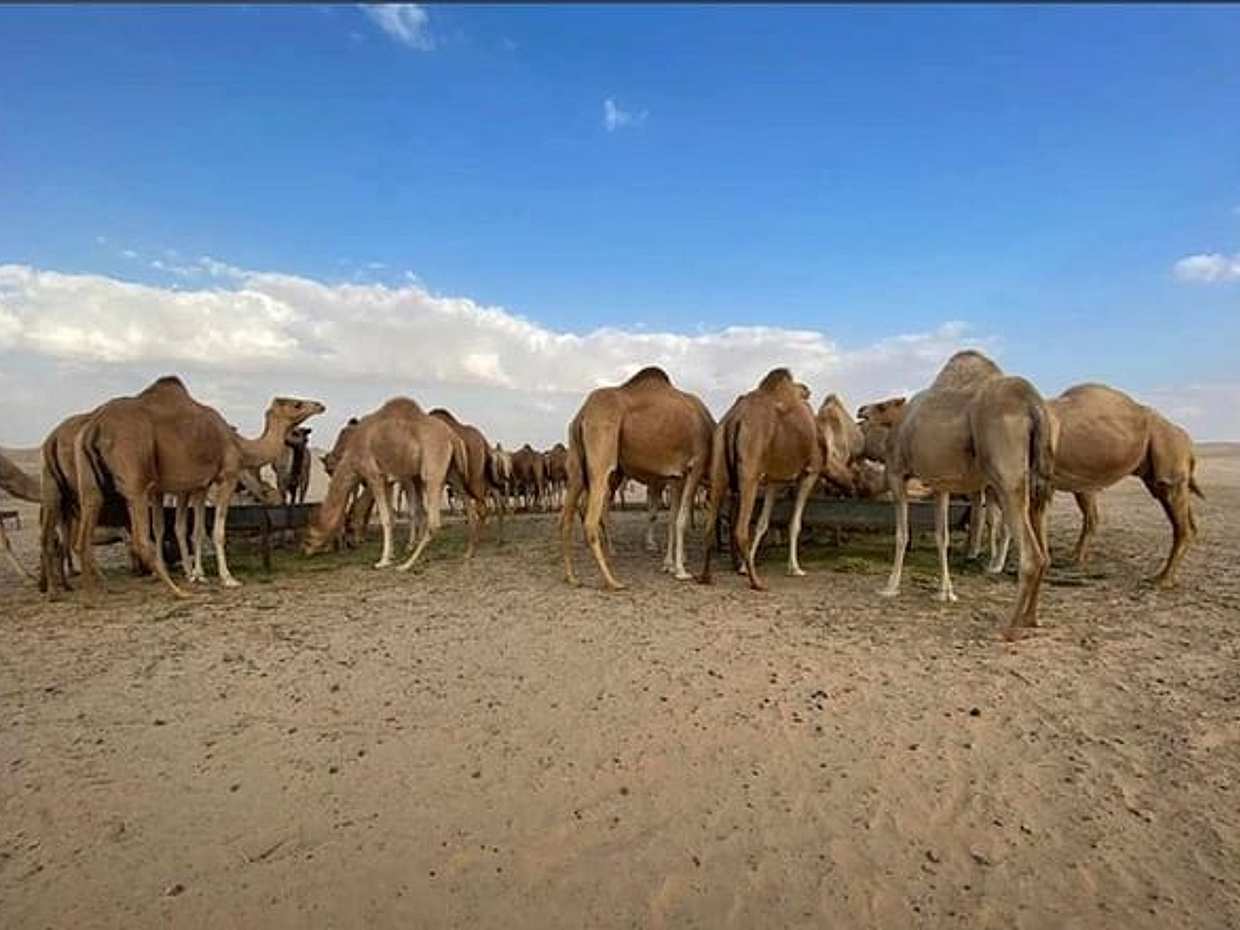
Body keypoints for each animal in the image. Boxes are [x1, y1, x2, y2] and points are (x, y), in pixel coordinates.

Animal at [74, 376, 325, 598]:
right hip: (136, 476)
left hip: (89, 481)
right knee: (140, 538)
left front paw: (197, 574)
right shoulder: (227, 477)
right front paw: (227, 578)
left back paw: (94, 594)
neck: (239, 445)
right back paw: (178, 591)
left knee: (83, 535)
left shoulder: (201, 485)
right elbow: (217, 531)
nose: (320, 405)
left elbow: (195, 530)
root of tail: (94, 424)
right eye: (296, 404)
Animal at [302, 397, 466, 571]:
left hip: (432, 467)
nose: (304, 550)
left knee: (434, 521)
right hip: (451, 471)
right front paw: (392, 555)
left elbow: (386, 519)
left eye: (308, 535)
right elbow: (392, 518)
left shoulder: (374, 476)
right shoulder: (388, 481)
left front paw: (383, 560)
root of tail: (452, 436)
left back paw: (406, 564)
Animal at [560, 366, 715, 589]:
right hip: (602, 450)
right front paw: (681, 570)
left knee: (566, 519)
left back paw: (572, 576)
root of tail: (583, 414)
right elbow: (681, 520)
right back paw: (612, 580)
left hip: (576, 463)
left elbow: (672, 519)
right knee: (591, 519)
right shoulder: (696, 465)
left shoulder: (677, 476)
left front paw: (669, 565)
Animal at [699, 369, 822, 591]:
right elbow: (795, 523)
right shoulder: (810, 472)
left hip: (719, 468)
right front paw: (795, 568)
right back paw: (756, 581)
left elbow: (764, 523)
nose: (807, 390)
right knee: (740, 529)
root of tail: (735, 418)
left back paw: (706, 577)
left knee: (710, 524)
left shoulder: (775, 480)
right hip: (750, 470)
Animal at [857, 350, 1055, 639]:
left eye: (883, 405)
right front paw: (946, 592)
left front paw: (890, 587)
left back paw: (1008, 626)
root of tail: (1034, 404)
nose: (861, 409)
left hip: (1006, 477)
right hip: (1038, 482)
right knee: (1044, 552)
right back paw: (1032, 618)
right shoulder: (940, 485)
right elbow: (943, 537)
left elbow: (902, 534)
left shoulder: (896, 473)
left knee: (1032, 555)